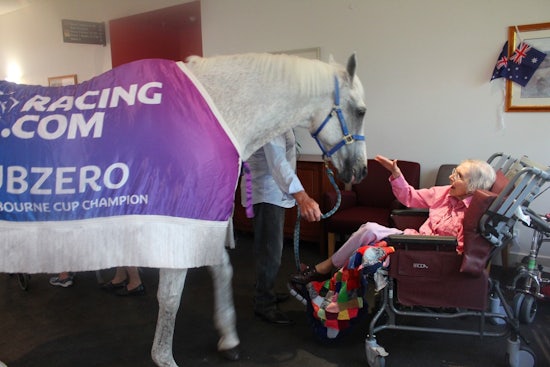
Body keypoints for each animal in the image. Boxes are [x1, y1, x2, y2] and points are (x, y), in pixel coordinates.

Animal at [1, 52, 370, 367]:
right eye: (361, 111)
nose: (361, 171)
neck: (216, 111)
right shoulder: (177, 224)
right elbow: (170, 299)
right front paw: (164, 357)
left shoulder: (201, 220)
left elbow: (222, 270)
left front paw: (228, 339)